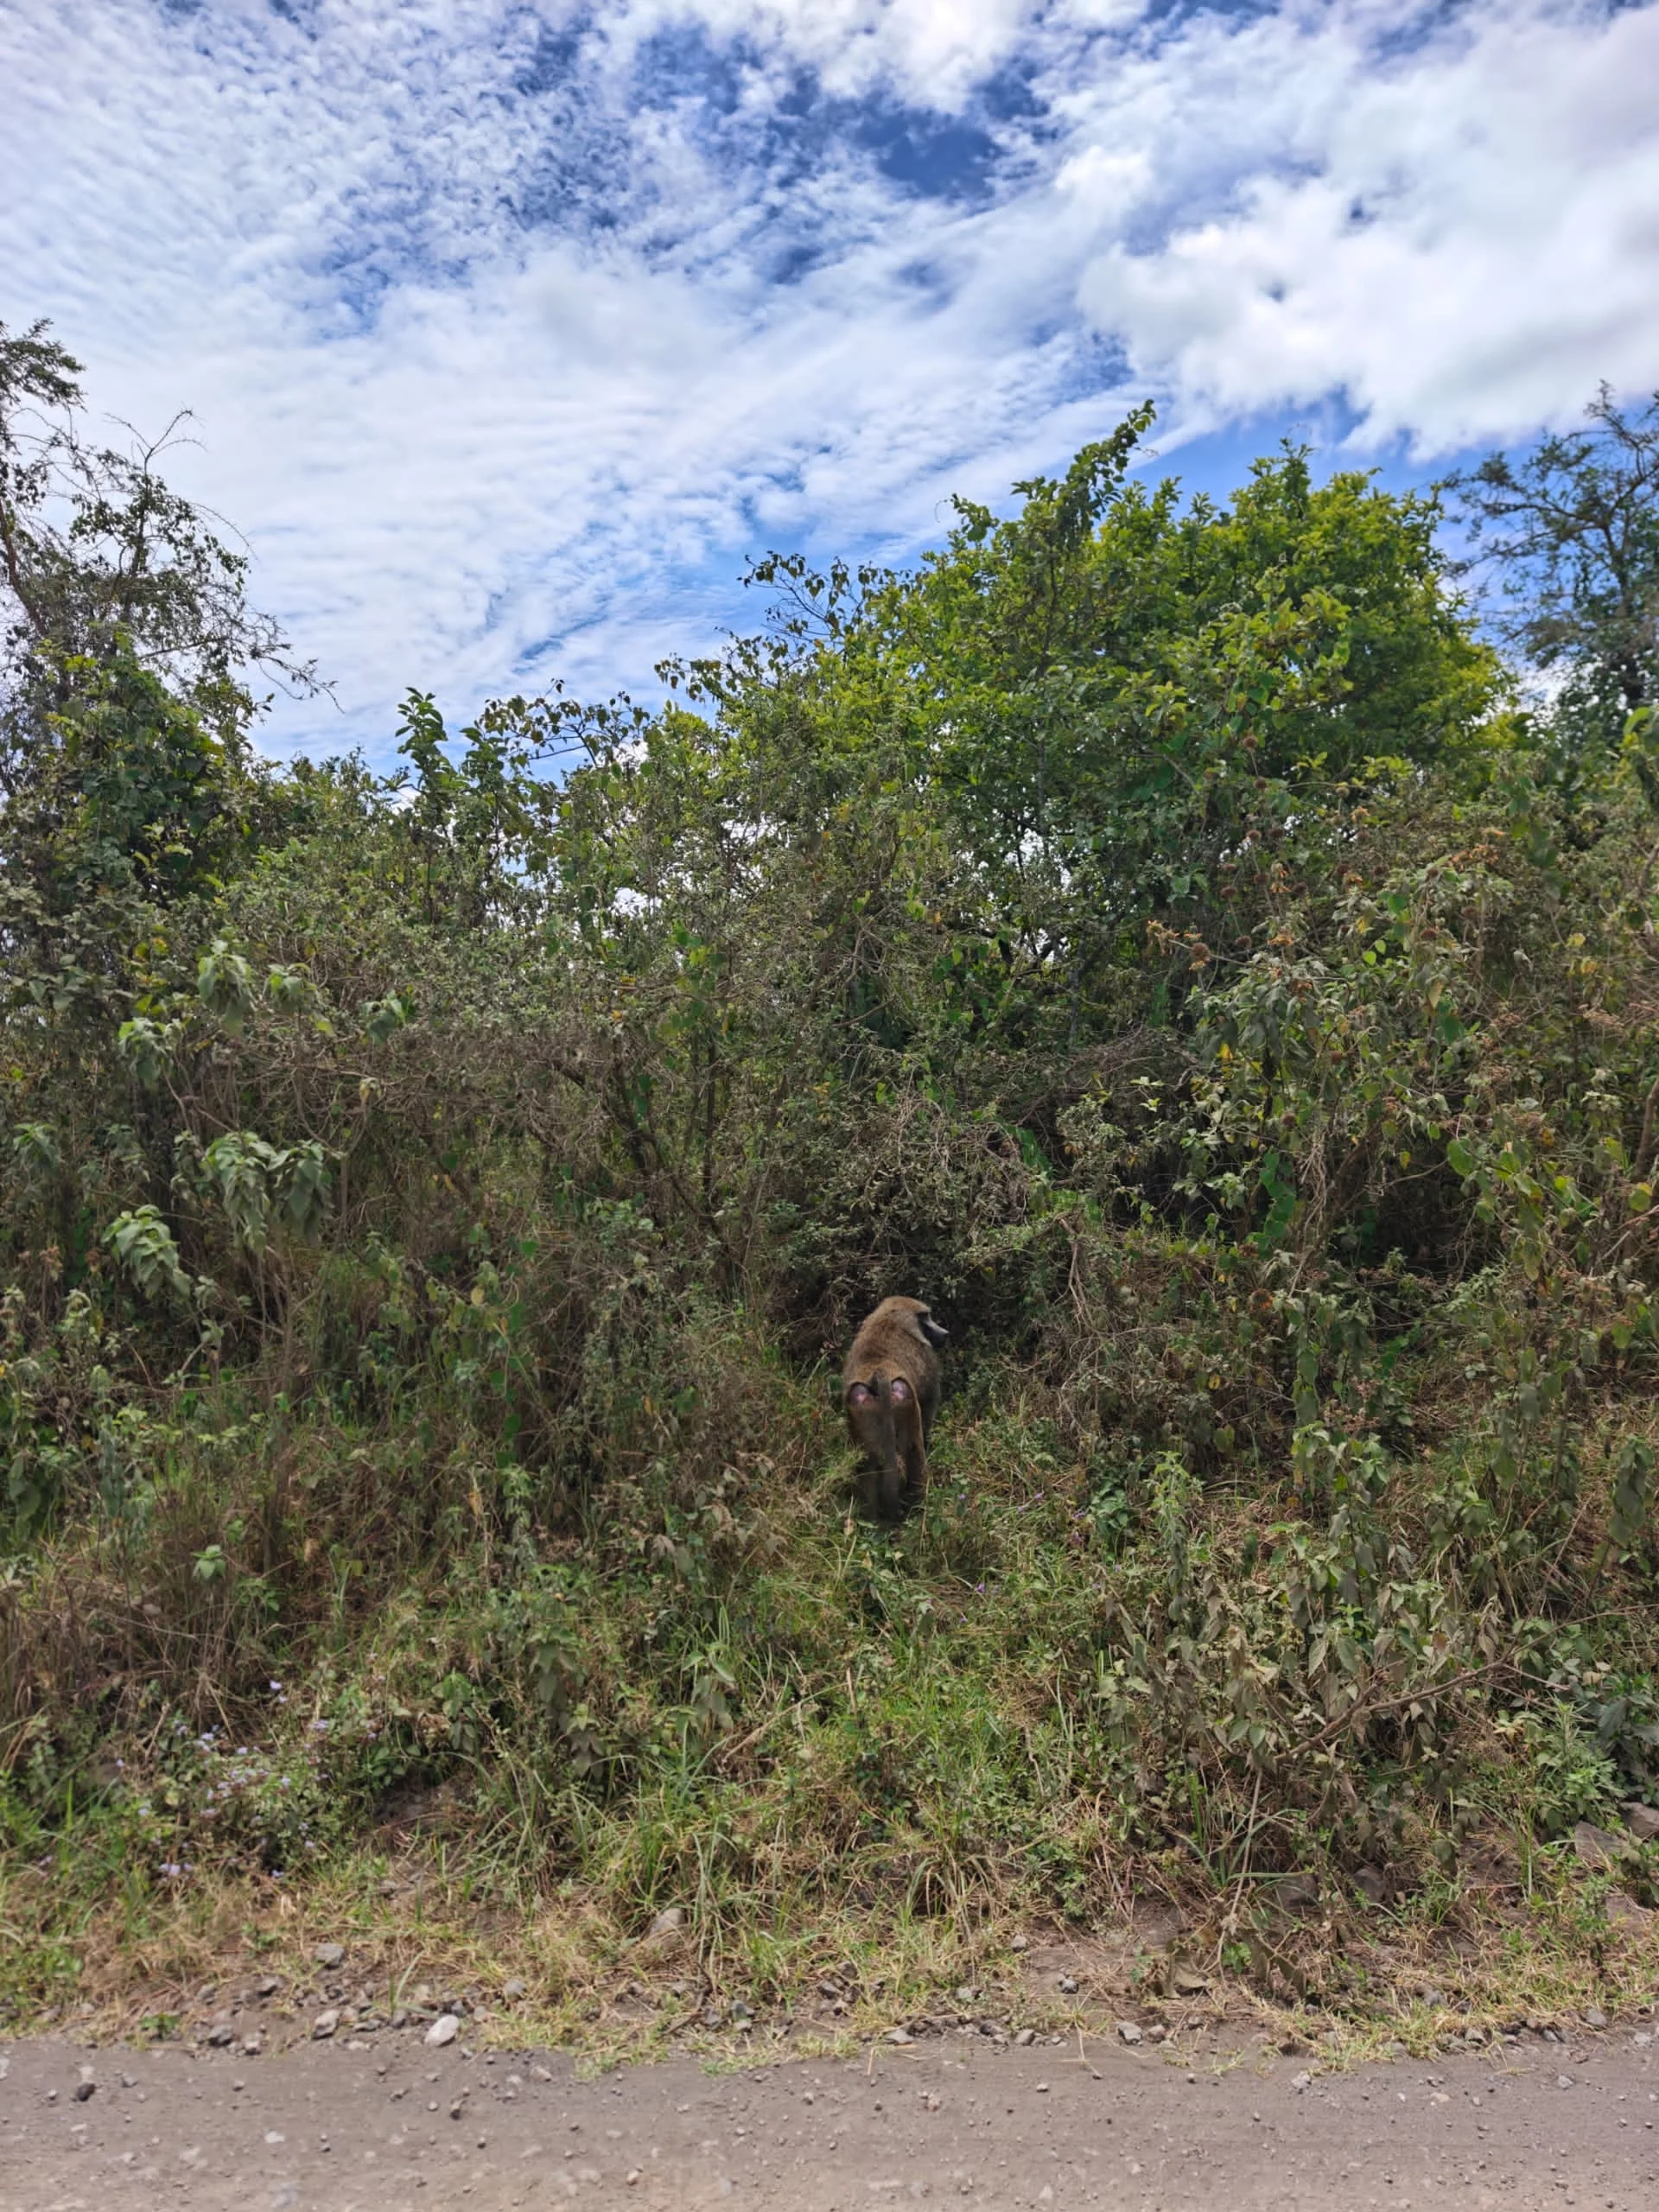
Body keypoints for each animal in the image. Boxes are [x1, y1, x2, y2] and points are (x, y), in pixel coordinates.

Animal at [841, 1296, 949, 1521]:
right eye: (926, 1317)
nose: (944, 1333)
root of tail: (879, 1373)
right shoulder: (928, 1358)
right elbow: (928, 1410)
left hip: (861, 1409)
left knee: (868, 1462)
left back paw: (871, 1519)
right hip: (905, 1402)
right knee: (914, 1449)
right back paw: (919, 1507)